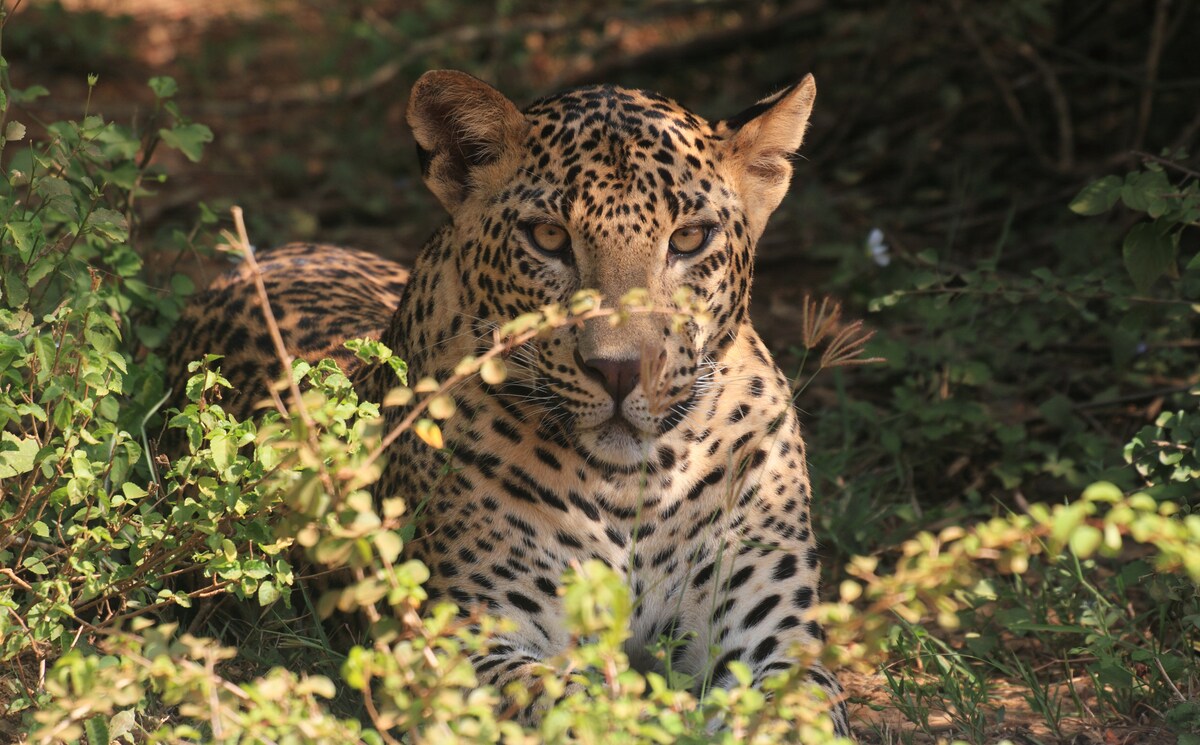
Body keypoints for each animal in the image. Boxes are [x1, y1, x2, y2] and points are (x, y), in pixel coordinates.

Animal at [171, 71, 854, 739]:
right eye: (548, 237)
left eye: (689, 238)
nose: (619, 369)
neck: (636, 484)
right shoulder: (469, 639)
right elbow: (569, 711)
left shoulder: (774, 636)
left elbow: (801, 716)